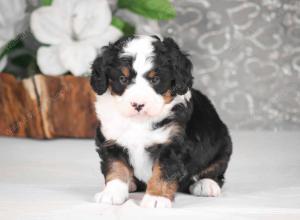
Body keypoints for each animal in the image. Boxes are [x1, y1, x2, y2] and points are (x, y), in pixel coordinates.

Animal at [90, 35, 233, 207]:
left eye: (155, 79)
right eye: (123, 79)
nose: (138, 104)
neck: (139, 122)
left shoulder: (172, 144)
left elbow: (163, 172)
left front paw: (156, 198)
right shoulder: (111, 139)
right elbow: (115, 167)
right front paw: (111, 193)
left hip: (222, 145)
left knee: (216, 170)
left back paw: (206, 184)